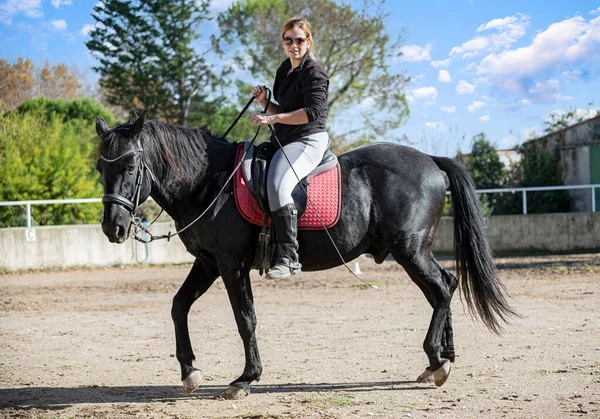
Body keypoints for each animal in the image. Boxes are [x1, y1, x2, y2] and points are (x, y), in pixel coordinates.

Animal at [95, 112, 516, 400]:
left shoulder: (231, 264)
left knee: (442, 290)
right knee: (444, 287)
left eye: (130, 165)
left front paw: (246, 379)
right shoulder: (209, 262)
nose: (113, 228)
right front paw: (189, 371)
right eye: (100, 167)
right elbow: (178, 305)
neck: (209, 183)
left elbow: (245, 318)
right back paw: (442, 360)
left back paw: (436, 360)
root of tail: (430, 160)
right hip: (415, 251)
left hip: (410, 250)